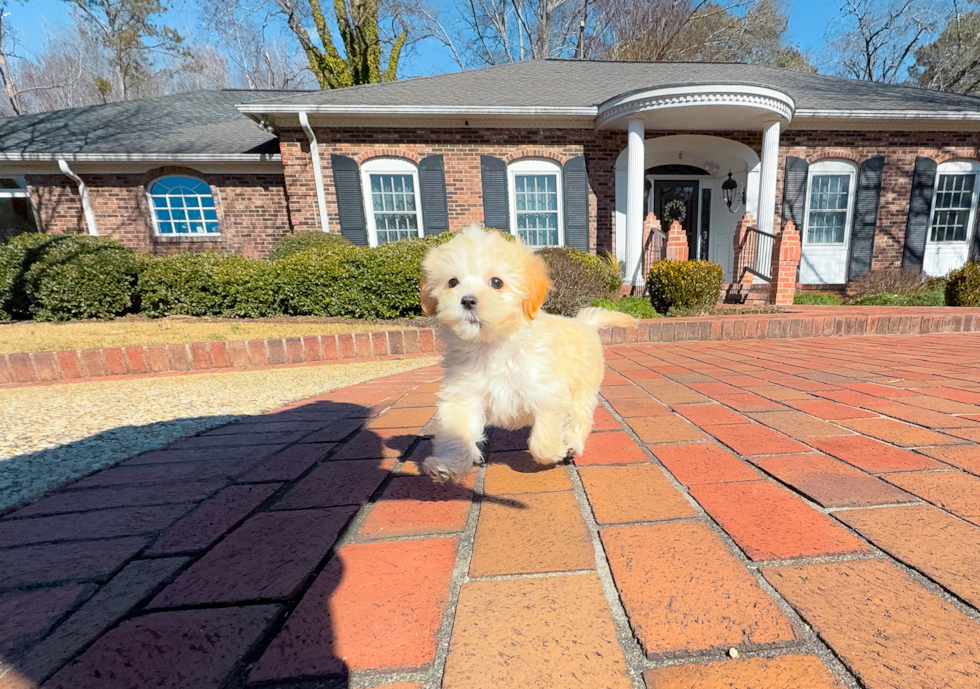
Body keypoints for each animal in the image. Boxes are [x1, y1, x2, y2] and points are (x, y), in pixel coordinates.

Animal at [420, 223, 636, 482]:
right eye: (452, 282)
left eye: (496, 282)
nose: (467, 300)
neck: (493, 345)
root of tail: (584, 323)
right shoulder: (463, 394)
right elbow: (458, 432)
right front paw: (447, 466)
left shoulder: (549, 394)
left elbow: (542, 441)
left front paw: (557, 449)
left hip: (583, 391)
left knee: (579, 419)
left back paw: (572, 443)